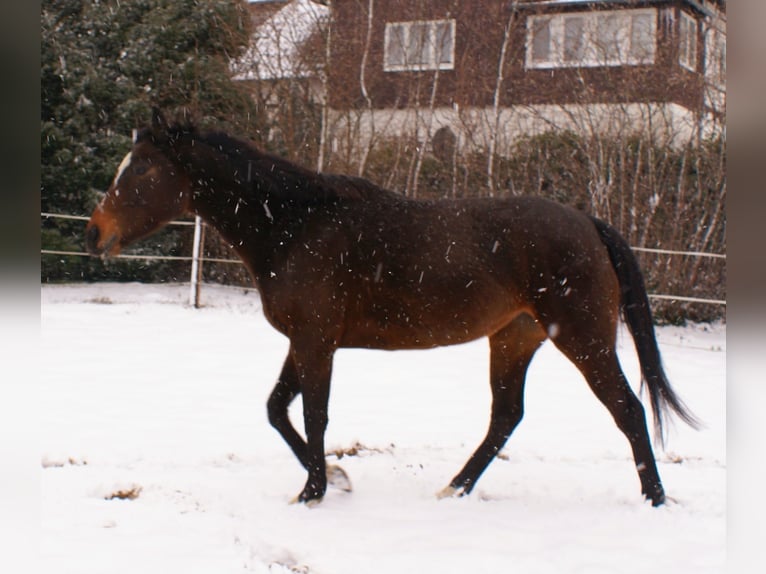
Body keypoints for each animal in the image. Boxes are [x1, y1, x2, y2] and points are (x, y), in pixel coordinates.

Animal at [85, 109, 699, 506]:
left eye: (142, 169)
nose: (95, 233)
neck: (295, 224)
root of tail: (589, 223)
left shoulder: (316, 340)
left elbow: (313, 413)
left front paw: (314, 491)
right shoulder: (306, 340)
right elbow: (278, 409)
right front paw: (334, 477)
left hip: (582, 338)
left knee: (627, 409)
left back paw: (655, 500)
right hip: (515, 336)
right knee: (506, 417)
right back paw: (453, 489)